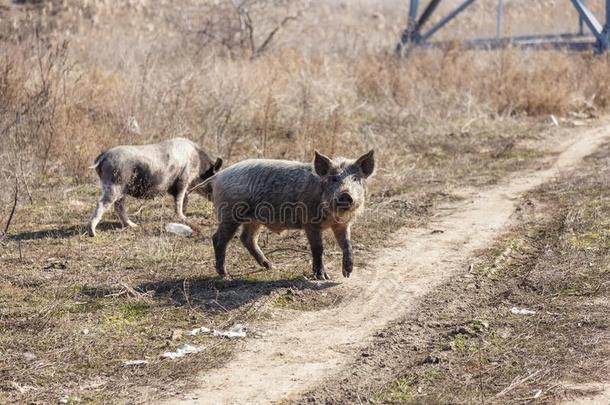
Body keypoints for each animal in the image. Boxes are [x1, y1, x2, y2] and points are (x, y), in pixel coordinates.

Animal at [84, 137, 220, 235]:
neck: (198, 165)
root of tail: (103, 156)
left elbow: (184, 199)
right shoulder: (183, 180)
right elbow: (179, 200)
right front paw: (183, 217)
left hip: (120, 189)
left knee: (119, 207)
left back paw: (133, 225)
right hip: (114, 185)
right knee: (102, 204)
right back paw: (93, 233)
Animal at [207, 150, 372, 280]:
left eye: (356, 179)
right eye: (333, 178)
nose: (345, 195)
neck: (333, 216)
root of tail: (219, 175)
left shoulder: (343, 225)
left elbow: (347, 244)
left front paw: (347, 274)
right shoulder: (309, 222)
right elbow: (318, 248)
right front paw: (323, 277)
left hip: (253, 219)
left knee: (247, 238)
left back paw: (271, 266)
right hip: (229, 214)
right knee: (218, 239)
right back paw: (226, 276)